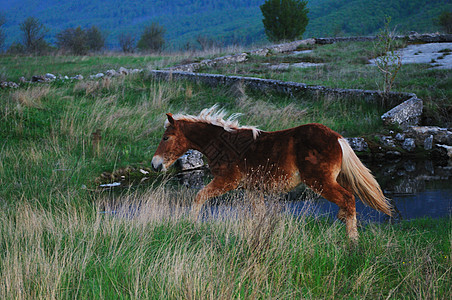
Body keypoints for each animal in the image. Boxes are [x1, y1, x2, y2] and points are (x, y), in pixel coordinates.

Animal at [152, 105, 392, 241]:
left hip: (320, 181)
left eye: (166, 137)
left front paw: (192, 226)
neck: (223, 143)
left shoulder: (226, 181)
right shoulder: (252, 189)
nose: (155, 164)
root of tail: (337, 137)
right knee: (348, 201)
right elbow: (258, 214)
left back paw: (353, 242)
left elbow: (198, 196)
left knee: (348, 199)